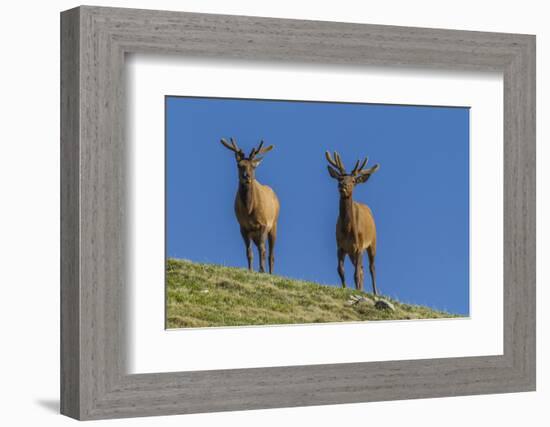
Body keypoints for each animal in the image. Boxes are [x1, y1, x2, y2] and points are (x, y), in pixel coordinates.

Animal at [220, 139, 280, 276]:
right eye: (239, 165)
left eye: (253, 166)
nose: (246, 176)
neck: (249, 210)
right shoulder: (243, 227)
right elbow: (249, 252)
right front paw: (250, 270)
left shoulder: (264, 224)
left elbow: (262, 249)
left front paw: (261, 270)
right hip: (255, 234)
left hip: (274, 225)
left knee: (271, 254)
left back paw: (270, 273)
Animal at [326, 150, 382, 294]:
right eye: (339, 178)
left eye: (353, 180)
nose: (342, 186)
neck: (348, 230)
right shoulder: (340, 246)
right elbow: (340, 270)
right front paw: (345, 288)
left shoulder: (359, 246)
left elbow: (356, 273)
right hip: (352, 252)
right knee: (362, 269)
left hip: (373, 242)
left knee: (371, 268)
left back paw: (375, 292)